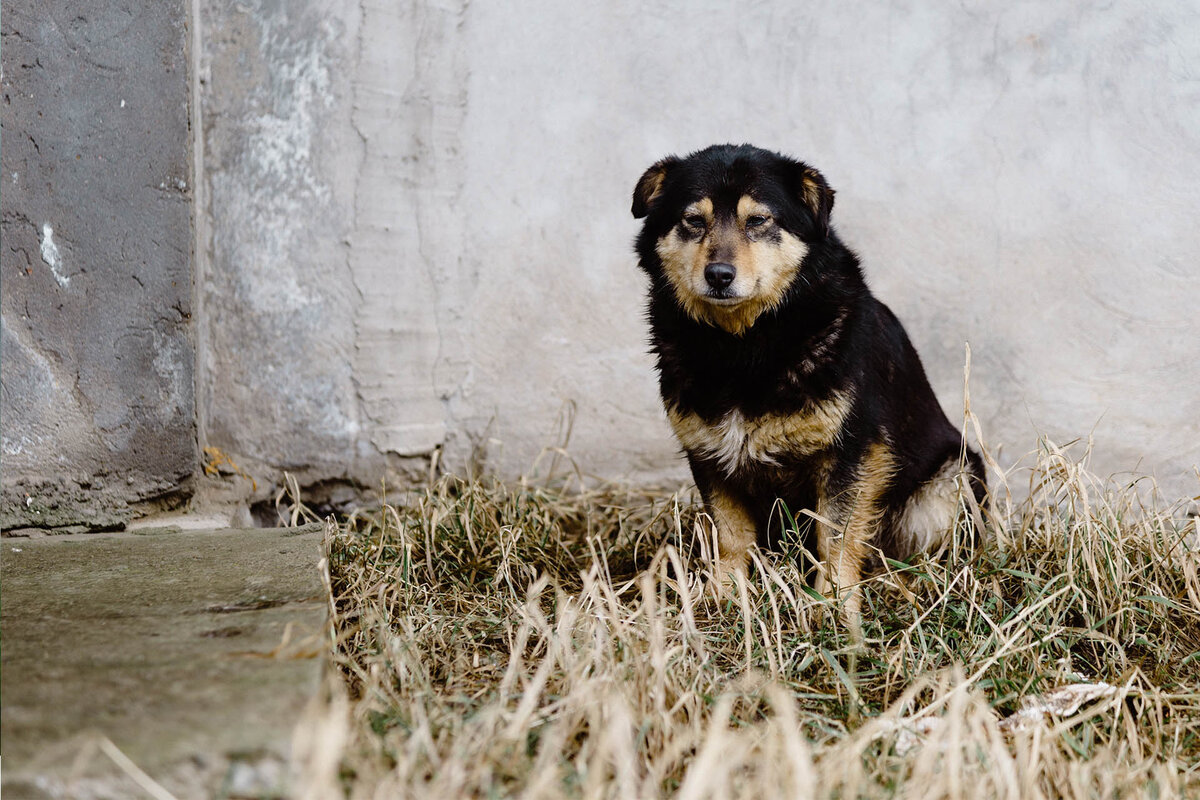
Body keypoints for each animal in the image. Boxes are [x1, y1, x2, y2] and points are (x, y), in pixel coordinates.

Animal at [628, 142, 984, 633]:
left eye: (758, 221)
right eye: (693, 221)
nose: (719, 274)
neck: (743, 345)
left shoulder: (853, 452)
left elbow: (835, 536)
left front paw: (834, 607)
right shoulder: (708, 453)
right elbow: (730, 535)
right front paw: (725, 598)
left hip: (951, 481)